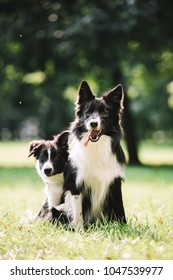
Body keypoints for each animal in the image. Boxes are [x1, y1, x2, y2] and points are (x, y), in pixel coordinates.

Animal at [58, 80, 126, 226]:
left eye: (105, 112)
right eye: (88, 113)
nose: (93, 123)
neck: (97, 146)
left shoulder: (115, 183)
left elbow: (120, 210)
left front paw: (124, 226)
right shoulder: (76, 185)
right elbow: (78, 213)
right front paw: (79, 229)